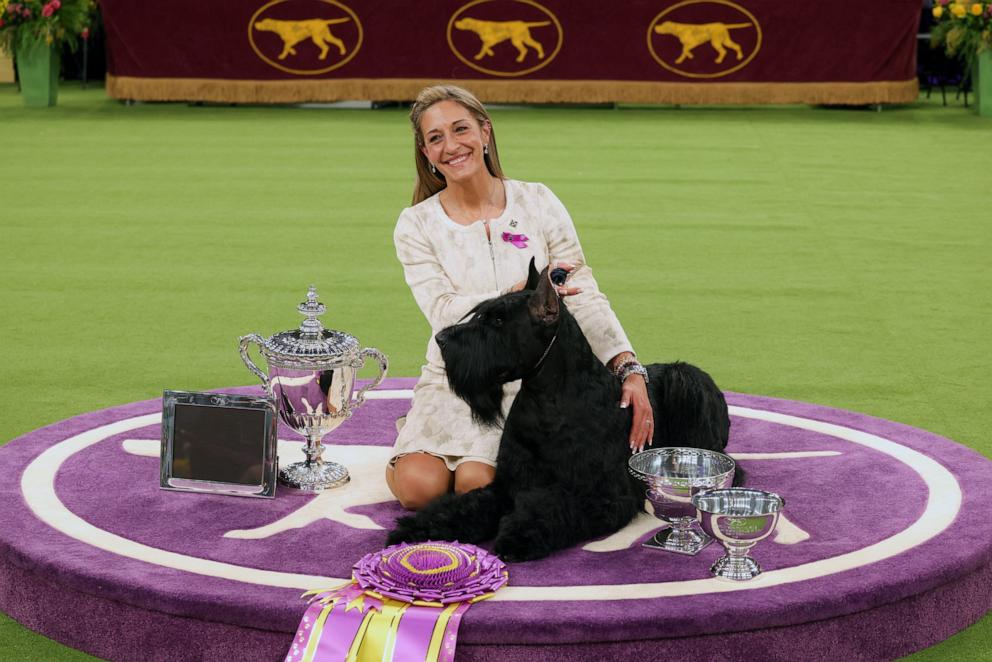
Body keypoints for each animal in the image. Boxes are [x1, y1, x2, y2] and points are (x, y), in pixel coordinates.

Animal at [388, 262, 728, 564]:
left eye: (498, 321)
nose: (442, 339)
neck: (548, 400)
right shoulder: (509, 484)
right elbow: (465, 505)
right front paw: (418, 526)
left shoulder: (598, 495)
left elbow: (550, 508)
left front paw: (519, 535)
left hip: (687, 382)